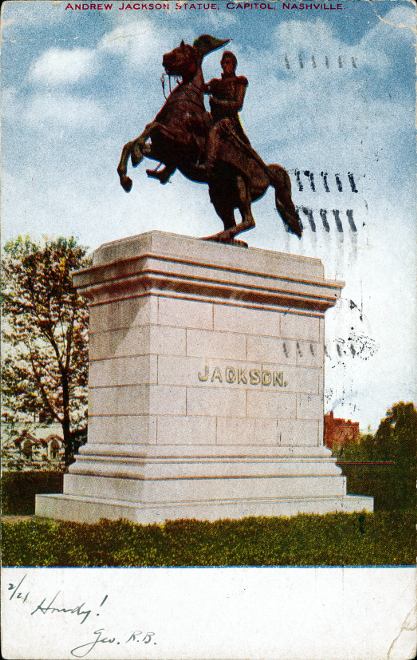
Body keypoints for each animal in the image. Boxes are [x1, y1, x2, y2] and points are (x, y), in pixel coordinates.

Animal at [115, 34, 300, 245]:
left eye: (186, 51)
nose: (164, 58)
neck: (184, 108)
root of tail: (268, 171)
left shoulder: (184, 142)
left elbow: (151, 127)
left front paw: (136, 158)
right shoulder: (165, 152)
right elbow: (131, 142)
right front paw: (126, 178)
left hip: (239, 184)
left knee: (249, 220)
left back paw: (223, 236)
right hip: (219, 195)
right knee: (232, 221)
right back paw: (220, 238)